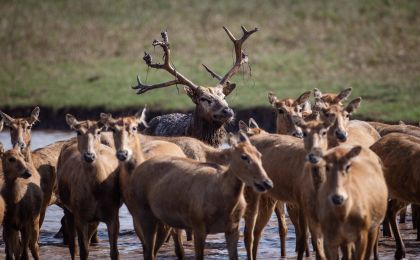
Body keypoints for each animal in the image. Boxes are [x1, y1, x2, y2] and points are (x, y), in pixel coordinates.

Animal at [128, 133, 272, 258]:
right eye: (244, 156)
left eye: (259, 154)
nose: (266, 183)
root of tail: (136, 172)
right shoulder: (198, 227)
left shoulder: (233, 229)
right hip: (144, 214)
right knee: (148, 251)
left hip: (163, 221)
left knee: (152, 251)